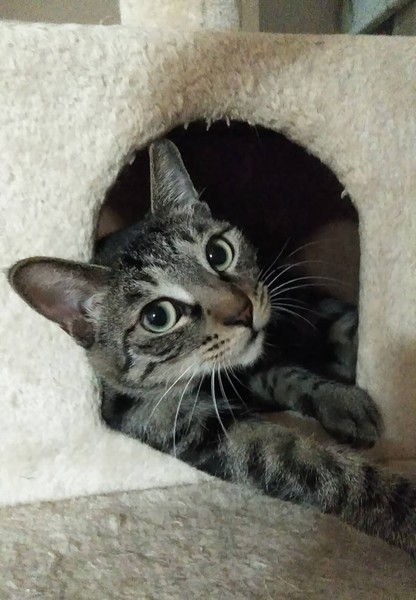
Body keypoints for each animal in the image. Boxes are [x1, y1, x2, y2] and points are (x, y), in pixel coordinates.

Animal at [8, 139, 415, 556]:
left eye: (218, 252)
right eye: (158, 316)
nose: (243, 312)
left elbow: (285, 373)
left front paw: (341, 400)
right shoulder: (173, 419)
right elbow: (301, 460)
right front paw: (400, 507)